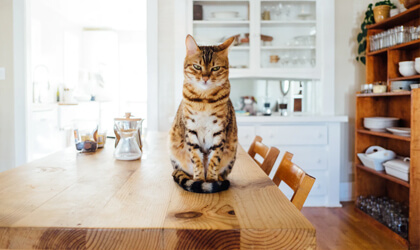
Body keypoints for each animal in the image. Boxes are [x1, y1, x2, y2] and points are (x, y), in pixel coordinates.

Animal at [169, 34, 238, 193]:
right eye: (197, 66)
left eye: (215, 68)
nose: (205, 78)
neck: (204, 100)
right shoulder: (191, 130)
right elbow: (196, 159)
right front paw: (199, 180)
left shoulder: (219, 131)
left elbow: (214, 159)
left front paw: (211, 180)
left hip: (232, 151)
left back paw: (219, 179)